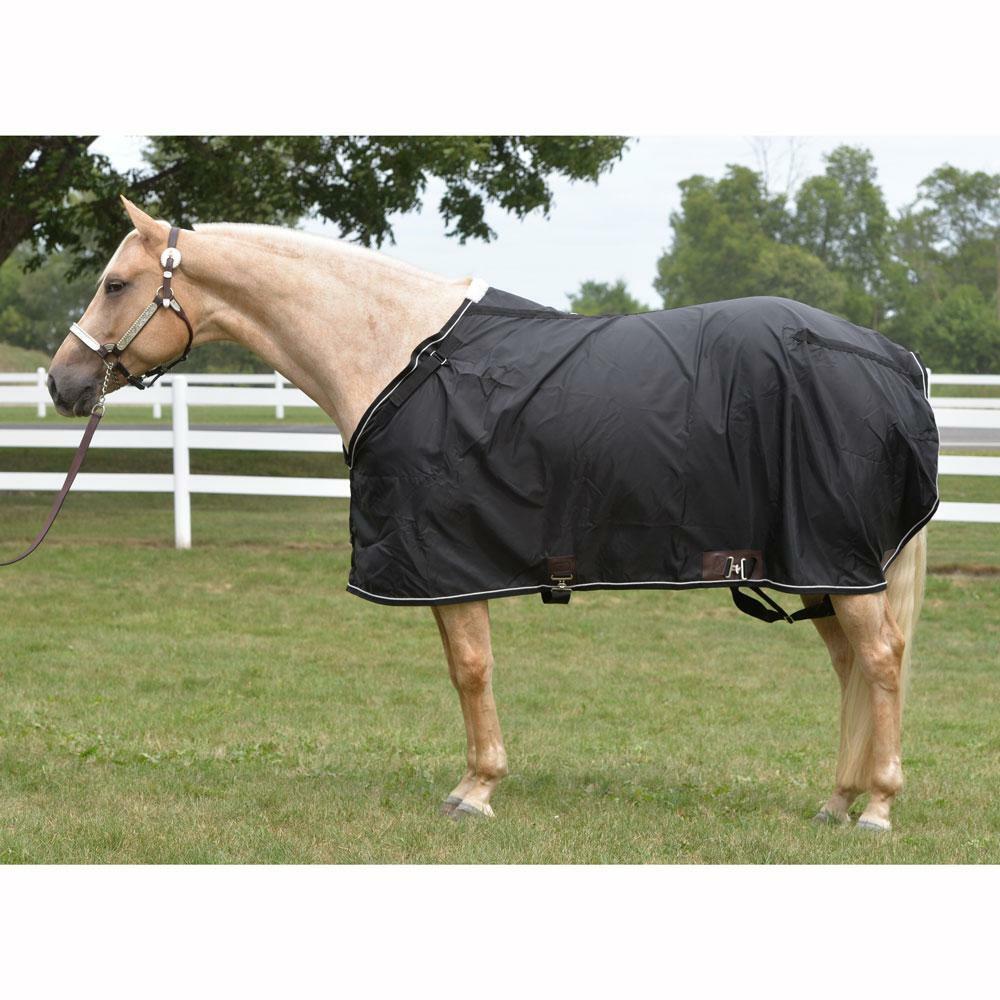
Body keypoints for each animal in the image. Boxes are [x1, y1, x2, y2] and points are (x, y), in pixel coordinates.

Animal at [46, 196, 935, 832]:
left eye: (115, 284)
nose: (60, 384)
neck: (398, 355)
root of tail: (893, 359)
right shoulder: (444, 566)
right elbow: (462, 670)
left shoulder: (444, 558)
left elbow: (471, 670)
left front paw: (476, 789)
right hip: (819, 567)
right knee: (851, 670)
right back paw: (836, 801)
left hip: (836, 562)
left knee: (881, 663)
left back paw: (878, 808)